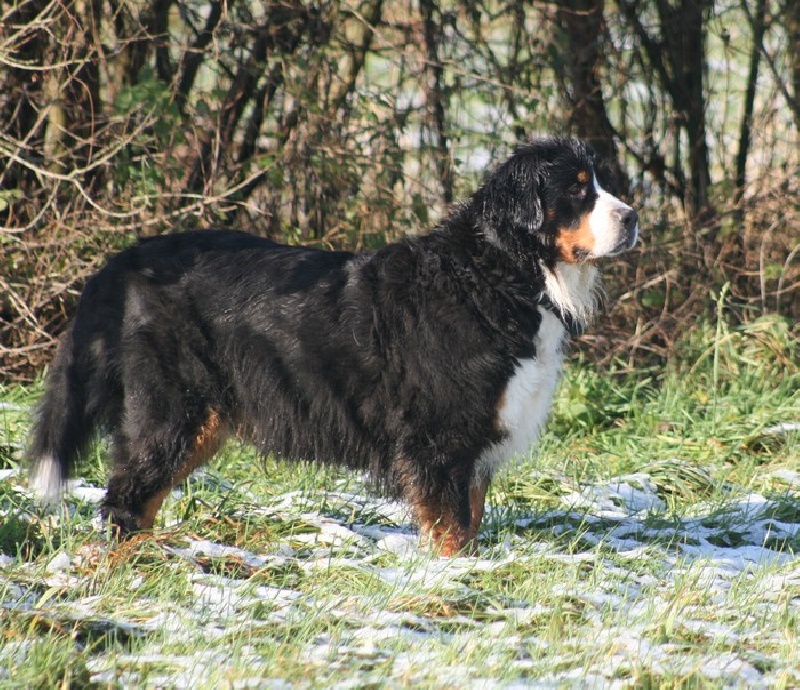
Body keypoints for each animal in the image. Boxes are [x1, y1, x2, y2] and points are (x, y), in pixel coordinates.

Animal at [29, 138, 636, 552]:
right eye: (576, 188)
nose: (633, 217)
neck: (499, 273)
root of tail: (128, 257)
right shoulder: (440, 439)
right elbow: (451, 528)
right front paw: (455, 574)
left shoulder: (476, 439)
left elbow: (470, 518)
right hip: (171, 410)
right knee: (125, 498)